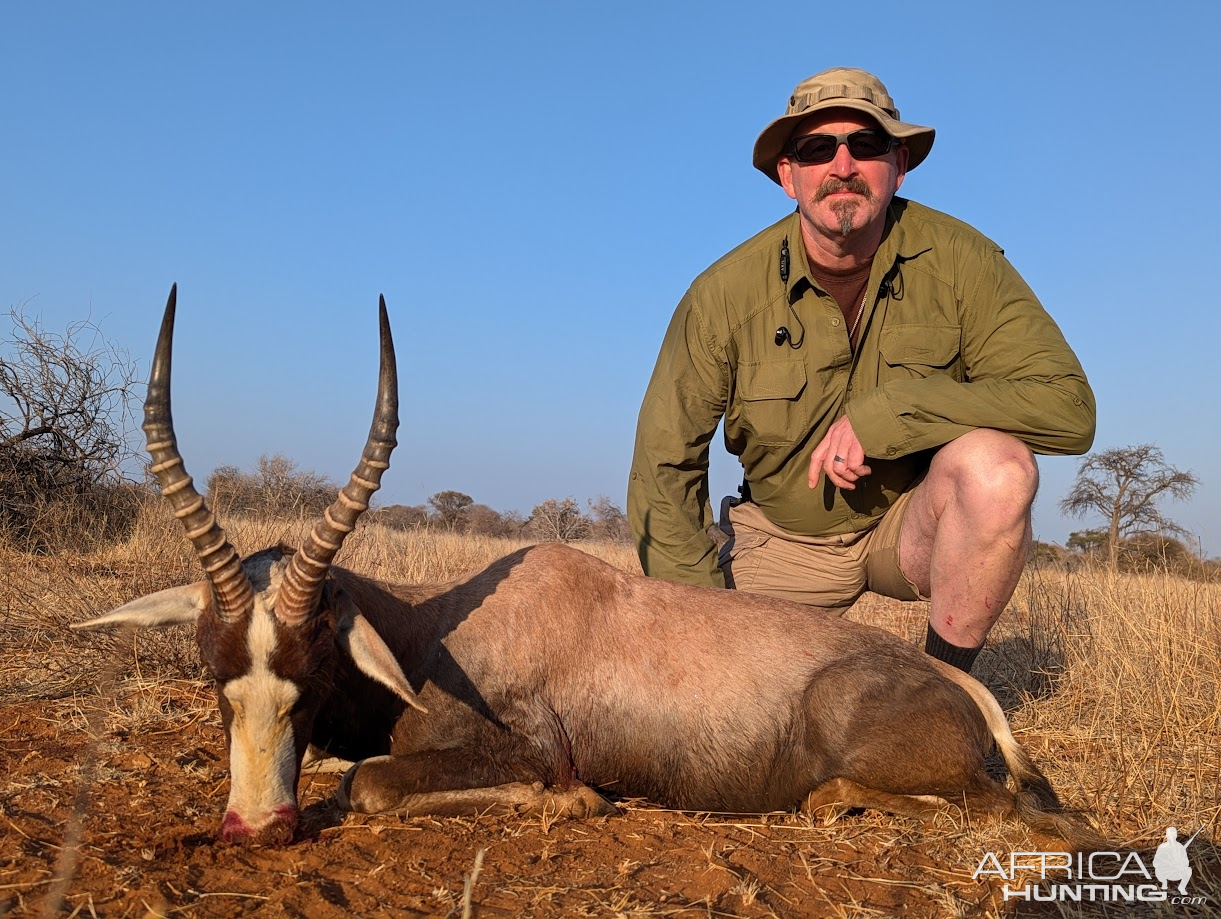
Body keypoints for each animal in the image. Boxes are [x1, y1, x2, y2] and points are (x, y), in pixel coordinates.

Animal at [78, 286, 1108, 844]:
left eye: (316, 655)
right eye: (215, 673)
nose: (256, 826)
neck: (432, 627)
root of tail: (956, 688)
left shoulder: (522, 741)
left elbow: (368, 781)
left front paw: (576, 801)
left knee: (1006, 811)